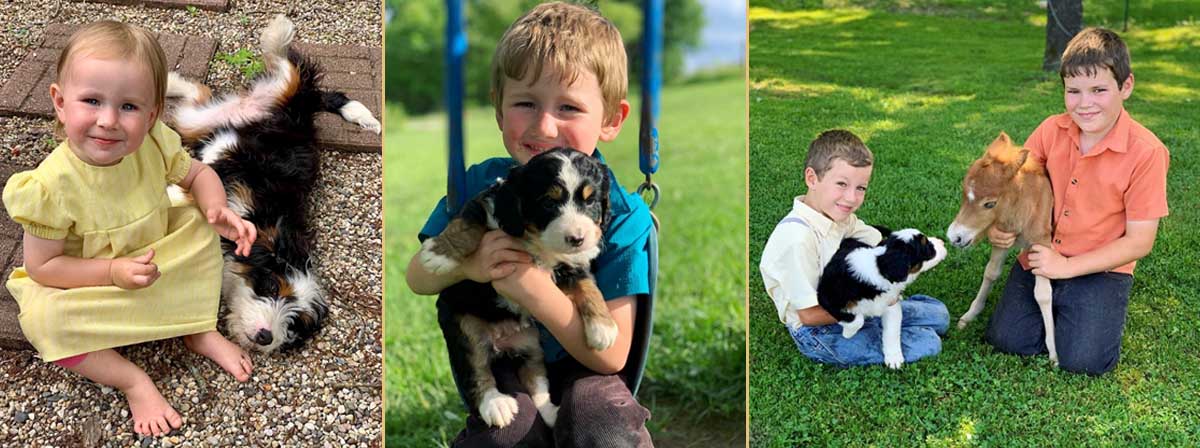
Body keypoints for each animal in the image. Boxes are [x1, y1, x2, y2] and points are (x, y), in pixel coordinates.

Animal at [164, 15, 379, 350]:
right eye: (274, 289)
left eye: (293, 324)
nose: (266, 337)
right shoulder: (235, 180)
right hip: (280, 90)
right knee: (288, 66)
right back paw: (278, 31)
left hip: (197, 120)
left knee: (196, 91)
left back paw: (170, 81)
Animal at [420, 148, 614, 427]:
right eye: (548, 203)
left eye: (590, 201)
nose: (577, 239)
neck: (536, 241)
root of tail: (501, 341)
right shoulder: (484, 205)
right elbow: (466, 224)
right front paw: (439, 254)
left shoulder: (575, 263)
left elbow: (589, 287)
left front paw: (603, 328)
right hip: (465, 329)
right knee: (477, 372)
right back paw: (496, 404)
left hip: (531, 345)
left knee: (536, 381)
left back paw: (551, 413)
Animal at [816, 228, 945, 367]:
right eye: (927, 246)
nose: (942, 242)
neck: (878, 268)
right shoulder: (827, 298)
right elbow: (857, 319)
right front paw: (848, 334)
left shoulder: (890, 303)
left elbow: (892, 331)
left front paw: (894, 358)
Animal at [945, 131, 1060, 362]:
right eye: (963, 193)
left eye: (990, 203)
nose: (954, 236)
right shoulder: (1003, 237)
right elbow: (991, 273)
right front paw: (969, 315)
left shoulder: (1041, 242)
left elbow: (1043, 293)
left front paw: (1053, 352)